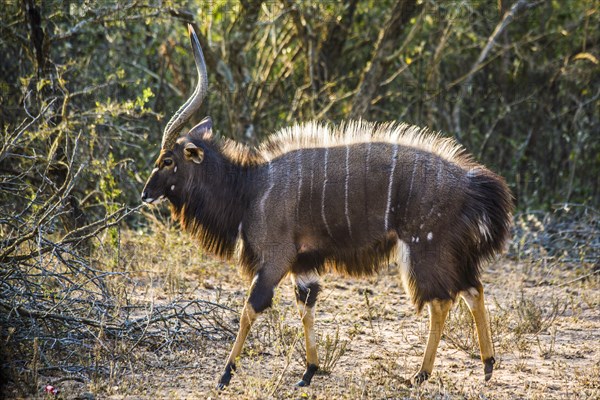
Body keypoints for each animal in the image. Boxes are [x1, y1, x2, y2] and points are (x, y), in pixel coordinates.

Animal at [141, 25, 510, 388]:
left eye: (168, 160)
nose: (145, 194)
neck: (250, 187)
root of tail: (471, 182)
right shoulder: (303, 265)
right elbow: (306, 308)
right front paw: (308, 372)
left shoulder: (275, 259)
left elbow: (249, 309)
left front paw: (225, 374)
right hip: (447, 253)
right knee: (472, 289)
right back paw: (487, 366)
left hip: (424, 250)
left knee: (442, 300)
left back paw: (422, 374)